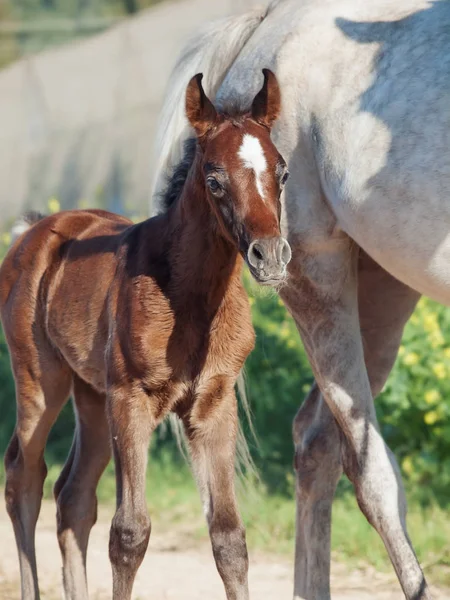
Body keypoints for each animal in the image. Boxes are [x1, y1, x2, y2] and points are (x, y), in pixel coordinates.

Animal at [1, 71, 290, 600]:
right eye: (214, 179)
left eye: (282, 173)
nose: (272, 256)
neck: (191, 301)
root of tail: (32, 231)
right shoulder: (131, 400)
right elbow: (130, 533)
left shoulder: (213, 406)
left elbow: (229, 537)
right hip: (40, 381)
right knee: (23, 478)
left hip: (92, 396)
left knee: (72, 497)